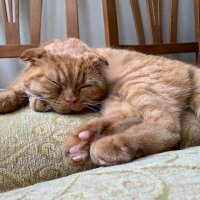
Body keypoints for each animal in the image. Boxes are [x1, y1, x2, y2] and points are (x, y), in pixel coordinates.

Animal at [1, 38, 200, 166]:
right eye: (55, 83)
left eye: (84, 86)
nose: (71, 100)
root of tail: (188, 66)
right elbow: (19, 87)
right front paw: (26, 99)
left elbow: (19, 86)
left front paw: (33, 100)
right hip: (116, 98)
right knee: (129, 115)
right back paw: (85, 139)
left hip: (138, 85)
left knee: (168, 129)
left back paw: (113, 145)